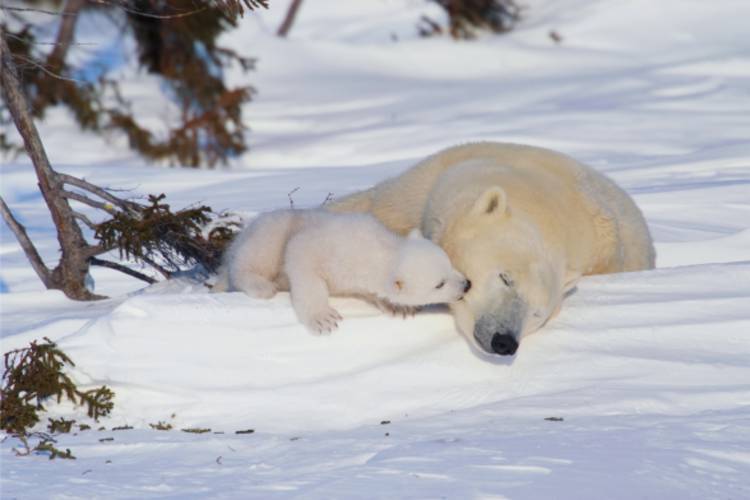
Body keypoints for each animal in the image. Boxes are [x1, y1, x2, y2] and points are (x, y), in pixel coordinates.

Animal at [213, 209, 470, 334]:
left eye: (450, 263)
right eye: (439, 283)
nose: (466, 284)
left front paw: (398, 307)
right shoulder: (326, 246)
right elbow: (302, 259)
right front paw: (322, 318)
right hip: (270, 232)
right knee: (252, 258)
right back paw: (261, 285)